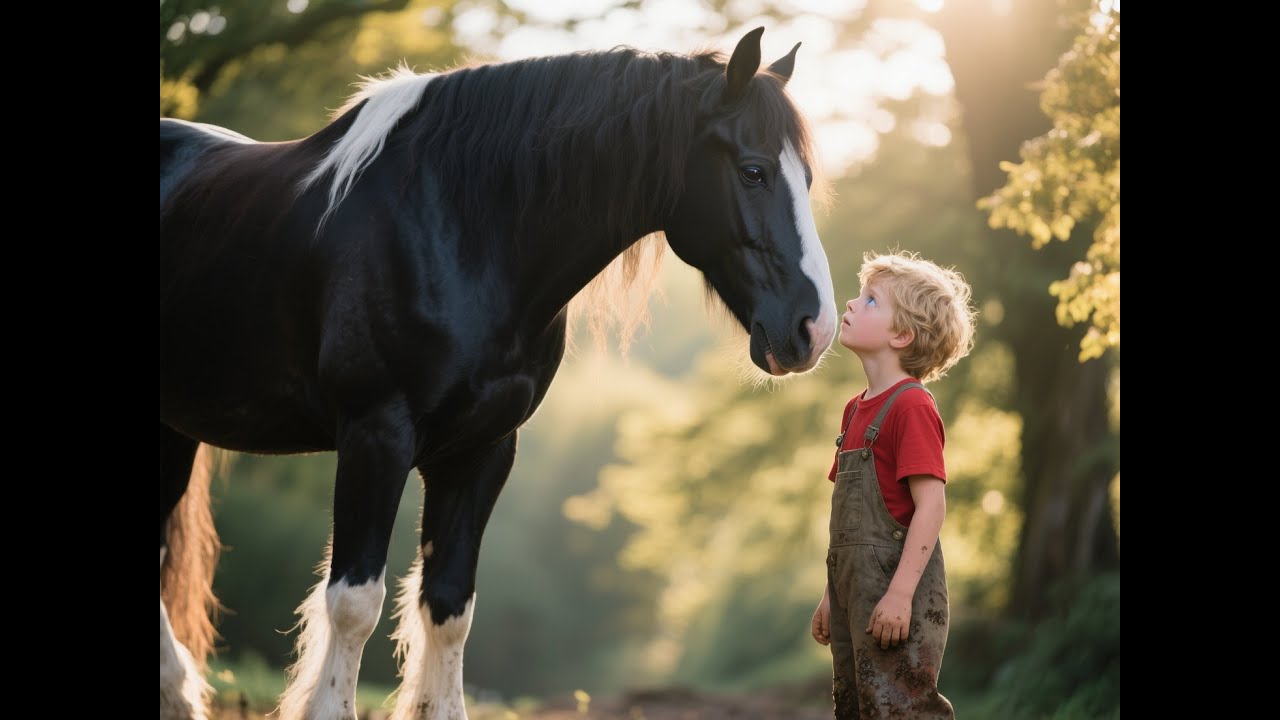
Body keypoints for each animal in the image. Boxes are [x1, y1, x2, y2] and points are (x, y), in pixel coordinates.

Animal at [160, 26, 835, 720]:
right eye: (754, 172)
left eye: (807, 177)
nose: (815, 328)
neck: (459, 229)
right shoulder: (375, 436)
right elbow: (354, 605)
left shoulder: (483, 450)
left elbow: (449, 607)